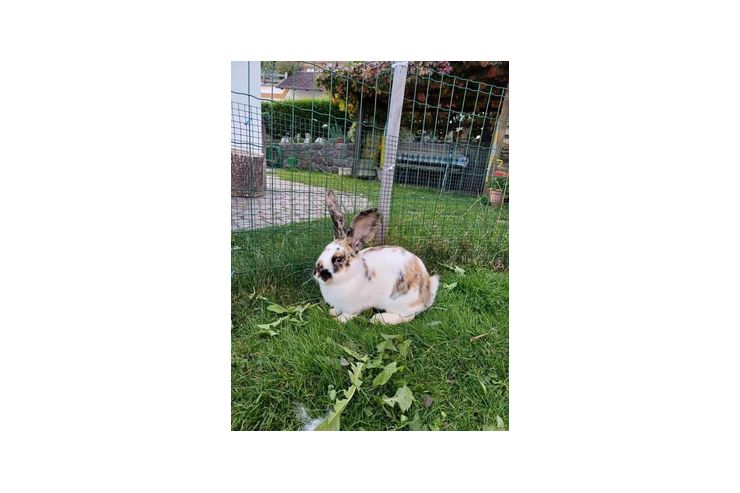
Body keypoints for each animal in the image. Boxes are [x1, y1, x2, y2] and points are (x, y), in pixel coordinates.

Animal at [313, 190, 439, 325]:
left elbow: (348, 315)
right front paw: (332, 312)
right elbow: (337, 309)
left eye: (338, 259)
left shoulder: (351, 308)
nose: (318, 272)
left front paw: (339, 320)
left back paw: (379, 319)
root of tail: (427, 294)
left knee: (407, 316)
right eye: (324, 249)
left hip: (401, 302)